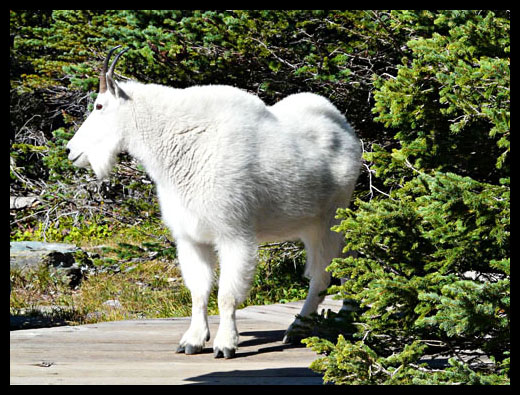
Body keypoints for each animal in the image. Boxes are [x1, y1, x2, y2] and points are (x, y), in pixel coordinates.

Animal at [66, 45, 362, 358]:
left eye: (99, 106)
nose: (71, 150)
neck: (182, 143)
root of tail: (347, 131)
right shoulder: (191, 238)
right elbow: (199, 292)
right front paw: (192, 341)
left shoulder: (233, 233)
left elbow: (227, 295)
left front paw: (225, 344)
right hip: (311, 223)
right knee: (344, 259)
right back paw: (342, 315)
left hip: (329, 218)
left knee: (322, 274)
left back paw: (302, 326)